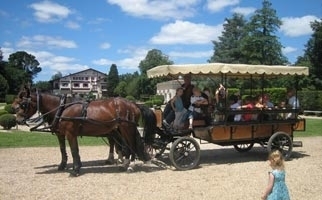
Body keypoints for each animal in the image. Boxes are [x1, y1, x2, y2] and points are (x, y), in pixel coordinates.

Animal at [13, 86, 157, 176]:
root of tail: (134, 104)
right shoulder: (61, 134)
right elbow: (63, 150)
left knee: (131, 144)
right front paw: (62, 165)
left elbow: (74, 150)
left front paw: (76, 169)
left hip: (127, 128)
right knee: (125, 145)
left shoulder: (71, 134)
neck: (62, 108)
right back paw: (124, 164)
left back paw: (130, 164)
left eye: (23, 104)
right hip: (120, 130)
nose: (18, 119)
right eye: (18, 102)